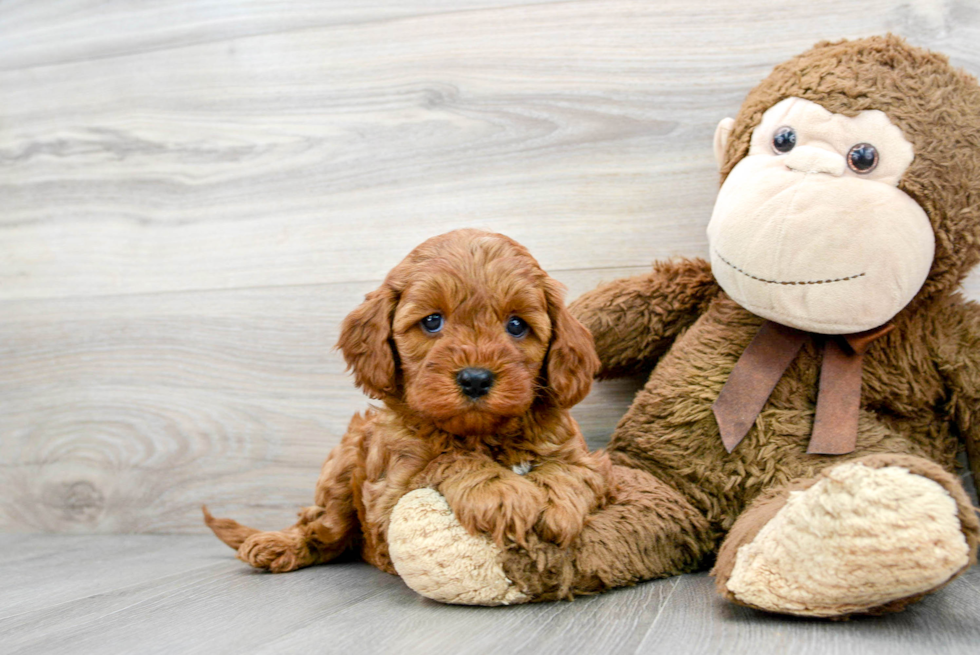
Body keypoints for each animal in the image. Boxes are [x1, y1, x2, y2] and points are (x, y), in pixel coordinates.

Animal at [203, 229, 608, 584]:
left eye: (517, 325)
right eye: (432, 321)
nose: (476, 378)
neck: (481, 434)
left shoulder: (584, 457)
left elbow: (572, 469)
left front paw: (556, 501)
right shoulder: (389, 498)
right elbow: (447, 459)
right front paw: (500, 491)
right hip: (342, 467)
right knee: (320, 529)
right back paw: (279, 545)